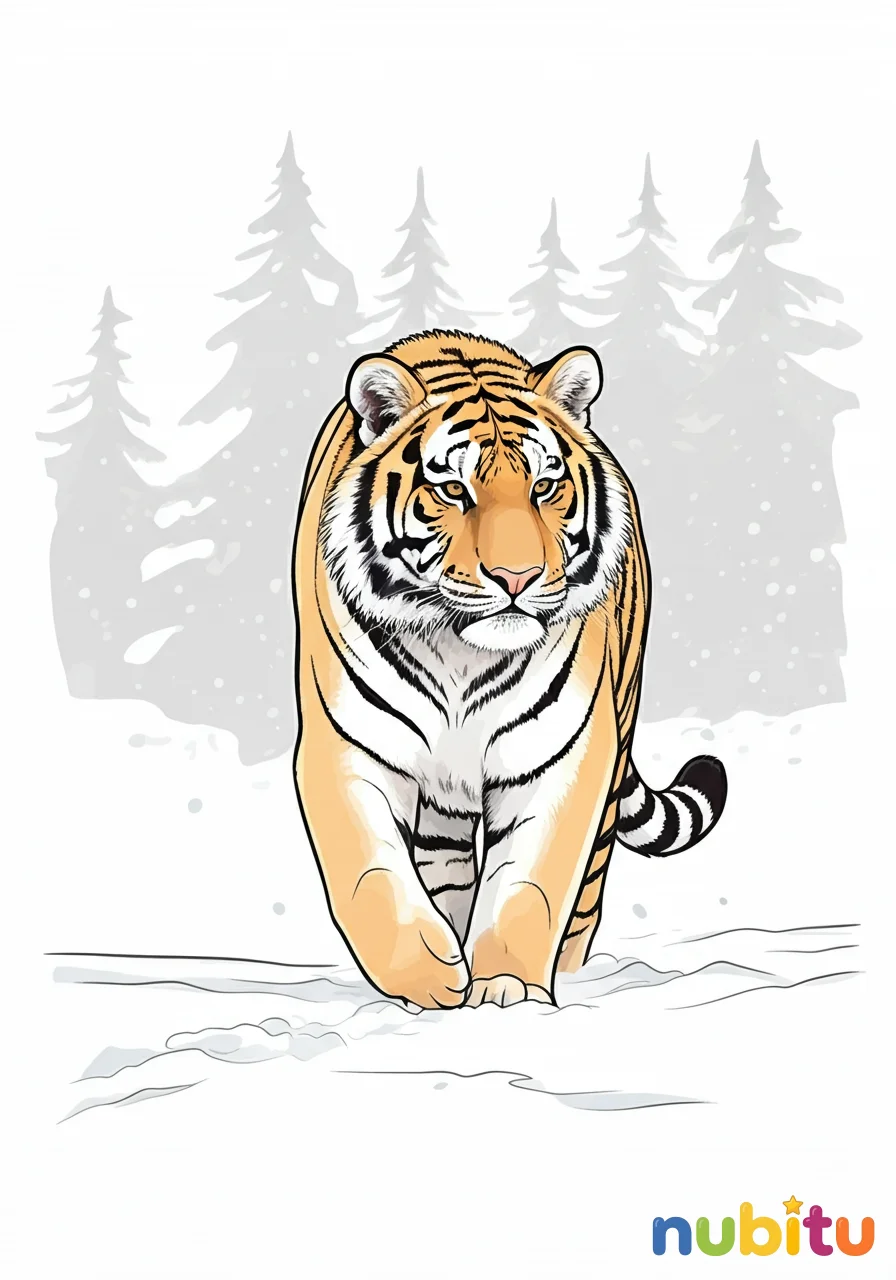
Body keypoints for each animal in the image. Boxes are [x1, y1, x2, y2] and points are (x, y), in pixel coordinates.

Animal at [293, 330, 727, 1009]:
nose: (516, 578)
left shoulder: (561, 755)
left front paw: (509, 990)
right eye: (452, 490)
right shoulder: (346, 748)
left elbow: (531, 887)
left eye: (545, 487)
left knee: (585, 892)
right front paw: (428, 976)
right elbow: (369, 878)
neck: (458, 653)